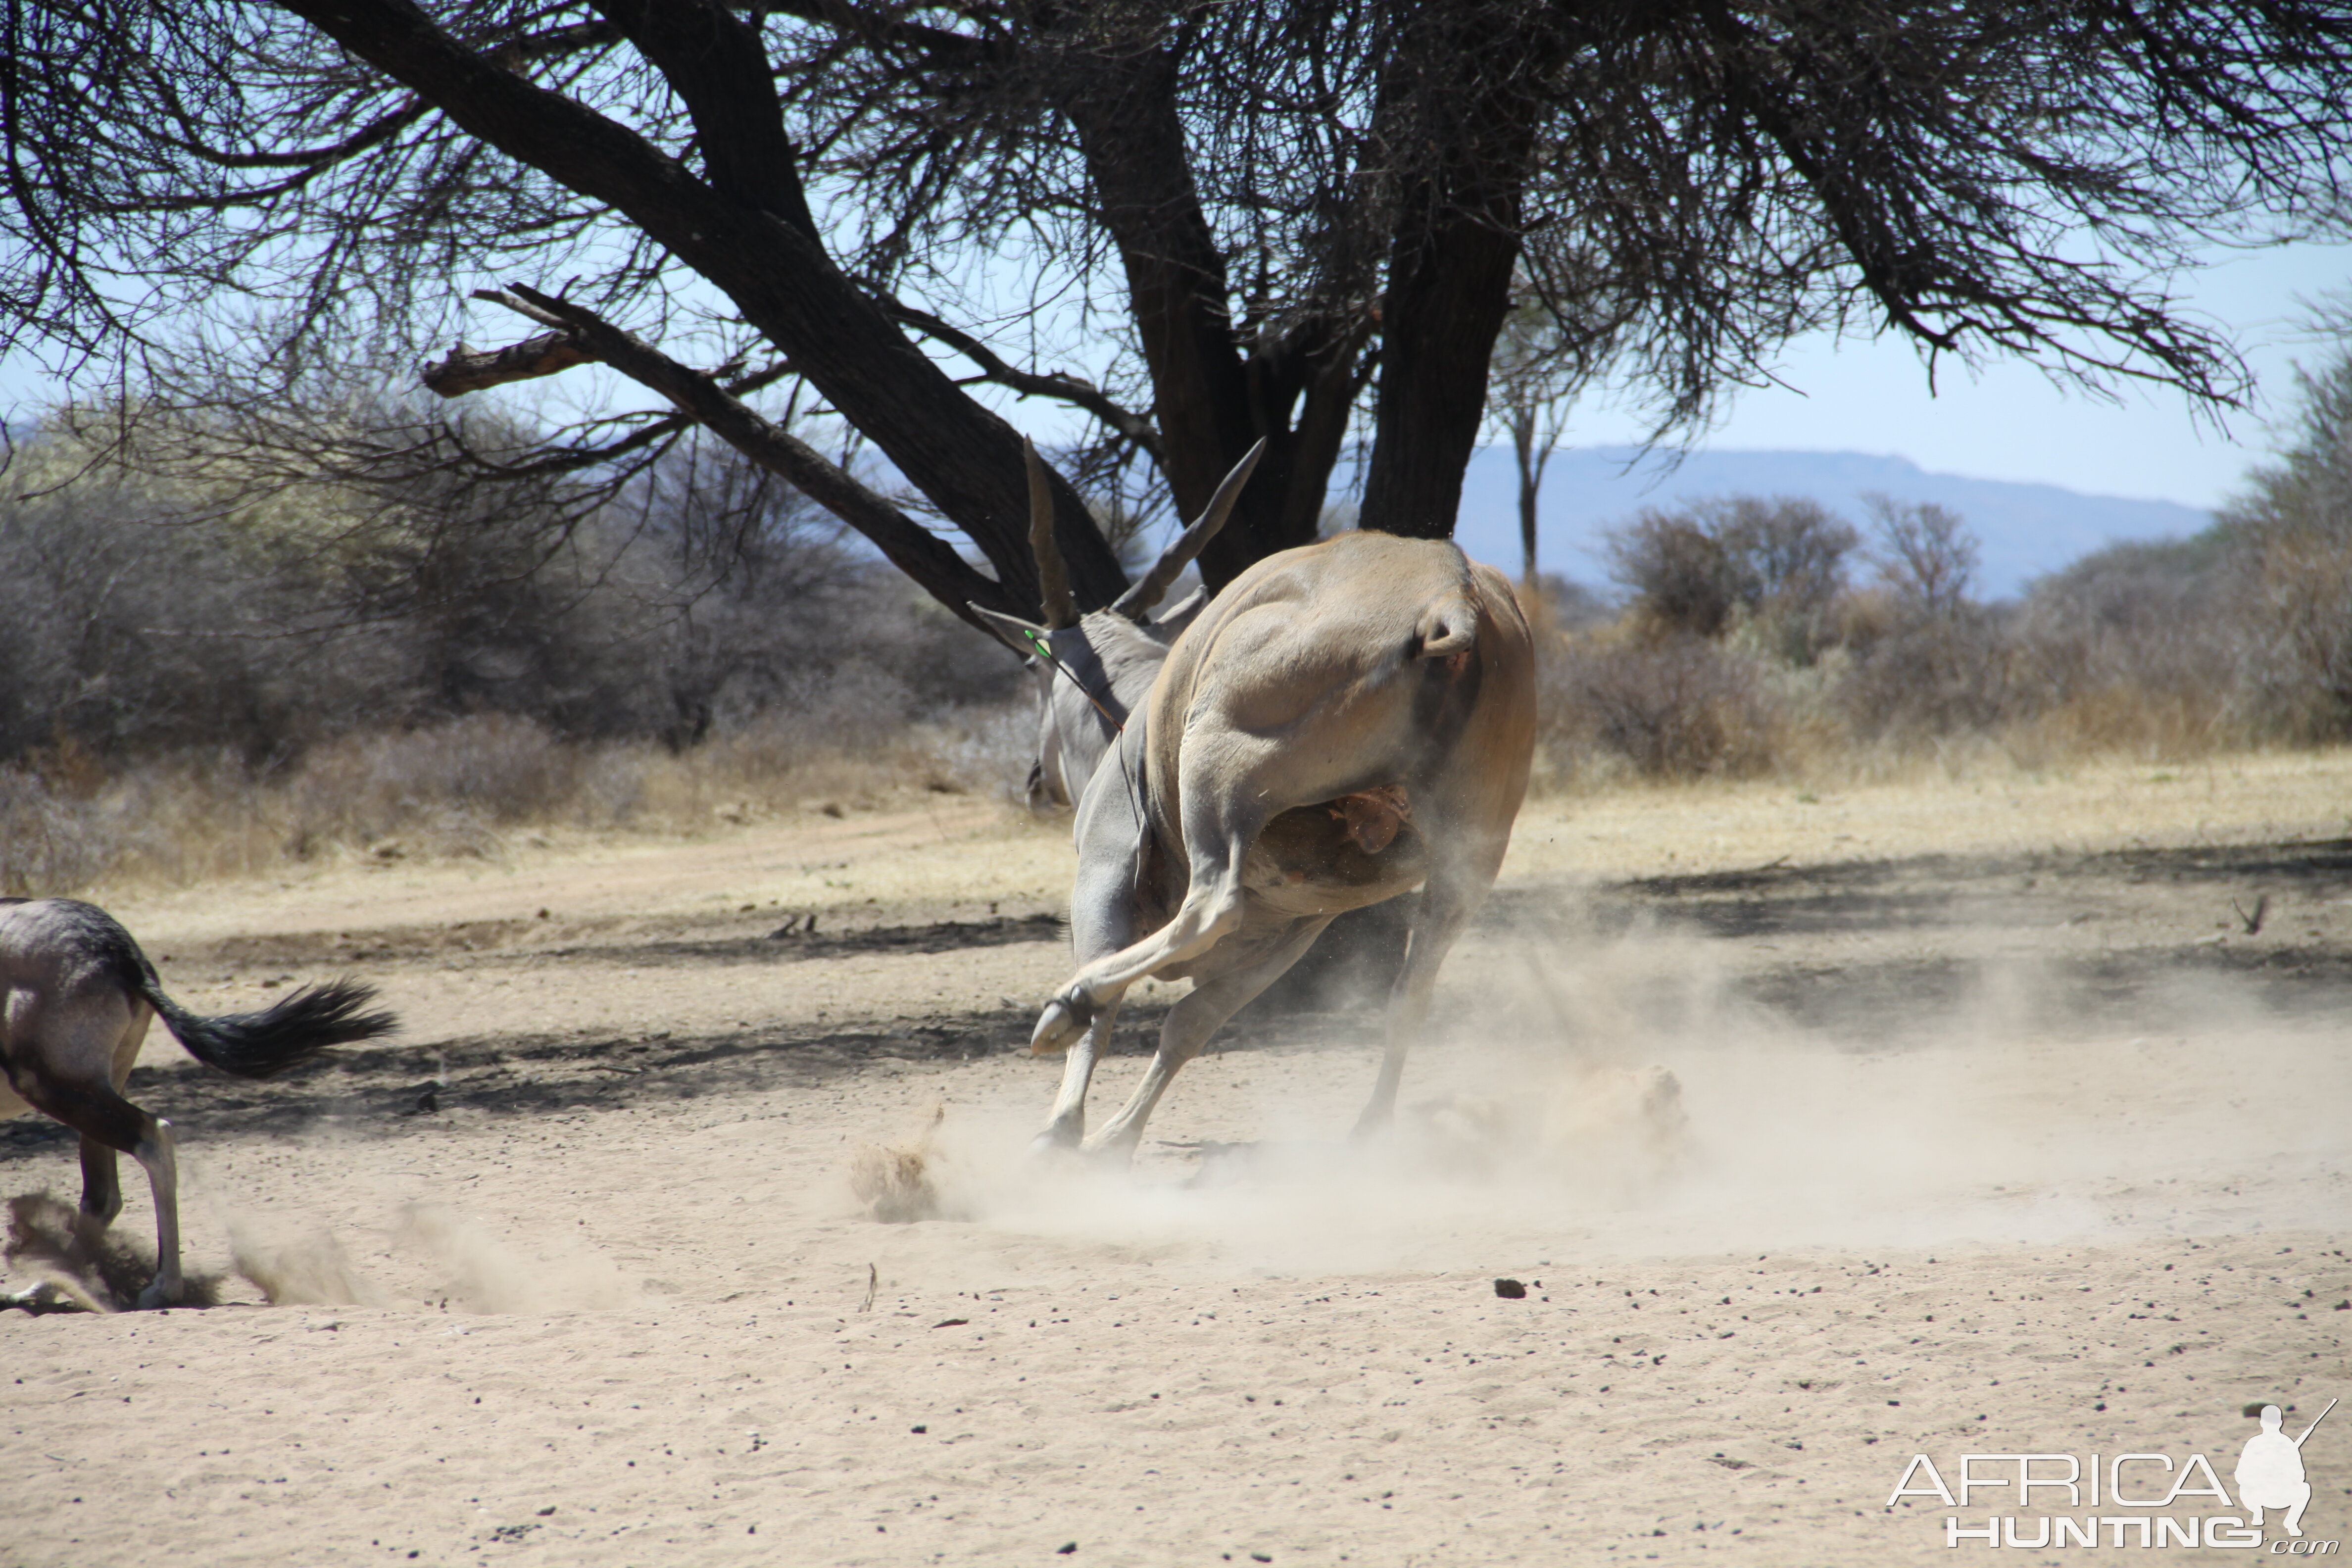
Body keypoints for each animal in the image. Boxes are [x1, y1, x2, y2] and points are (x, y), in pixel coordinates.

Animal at [0, 902, 395, 1307]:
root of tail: (115, 950)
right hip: (92, 1089)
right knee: (102, 1193)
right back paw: (46, 1288)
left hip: (55, 1086)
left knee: (151, 1140)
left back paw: (160, 1288)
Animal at [974, 446, 1543, 1161]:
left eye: (1035, 670)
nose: (1034, 779)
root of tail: (1452, 598)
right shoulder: (1298, 922)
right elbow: (1192, 1024)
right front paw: (1117, 1135)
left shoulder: (1105, 864)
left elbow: (1114, 1010)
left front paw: (1062, 1130)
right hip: (1467, 864)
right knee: (1411, 993)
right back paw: (1369, 1132)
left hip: (1217, 772)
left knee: (1209, 906)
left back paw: (1062, 1007)